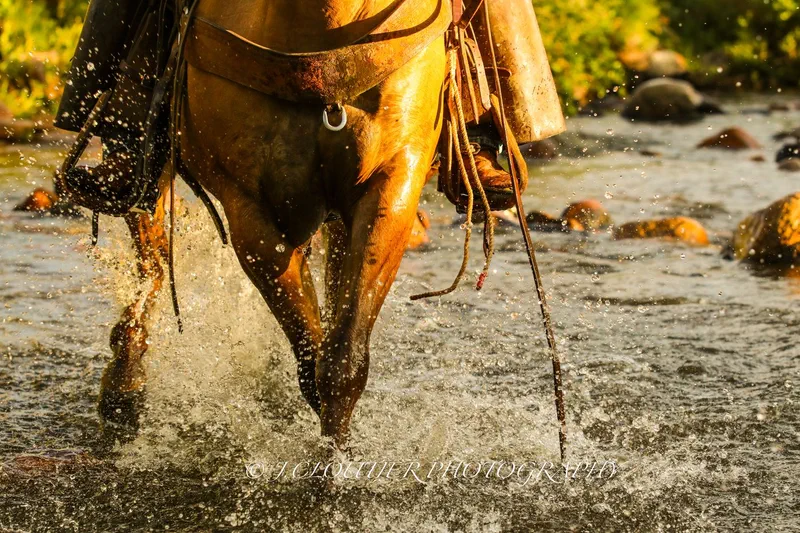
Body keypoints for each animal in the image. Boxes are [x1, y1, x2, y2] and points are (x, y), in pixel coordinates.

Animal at [100, 0, 448, 449]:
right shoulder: (250, 213)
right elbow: (312, 358)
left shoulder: (393, 181)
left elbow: (342, 359)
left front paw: (337, 457)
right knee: (152, 258)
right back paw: (123, 387)